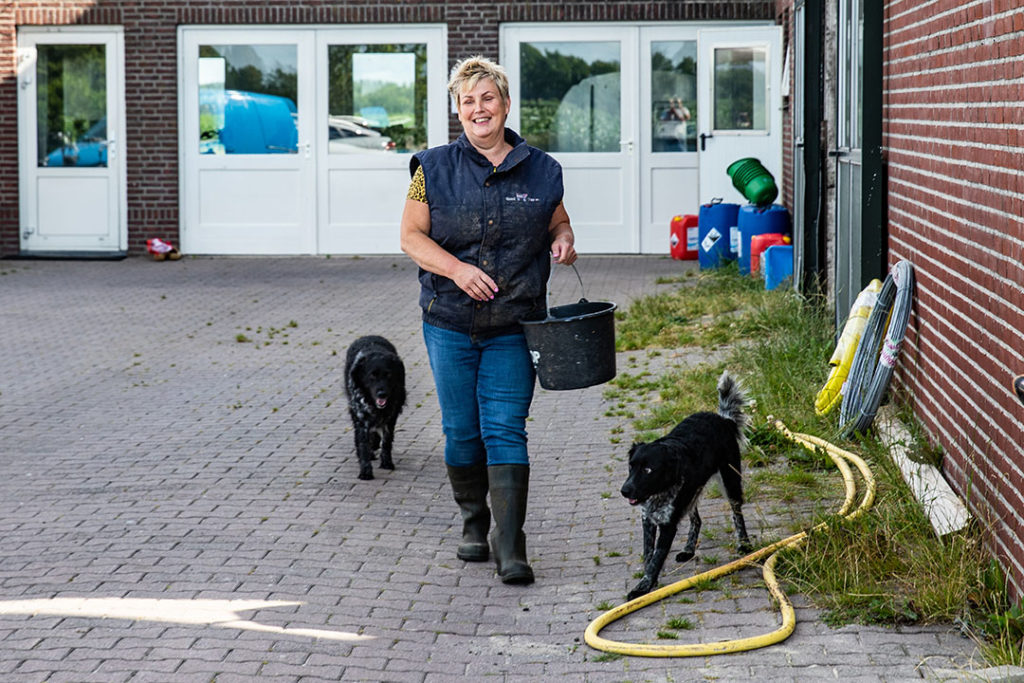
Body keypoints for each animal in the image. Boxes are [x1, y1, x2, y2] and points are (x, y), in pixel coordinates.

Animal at [346, 335, 405, 481]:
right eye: (372, 375)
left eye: (389, 375)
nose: (382, 394)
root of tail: (369, 336)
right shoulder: (360, 417)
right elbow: (363, 445)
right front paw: (365, 471)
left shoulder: (391, 416)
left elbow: (386, 442)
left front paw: (387, 463)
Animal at [614, 370, 753, 602]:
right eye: (631, 466)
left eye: (648, 470)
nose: (624, 491)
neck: (658, 492)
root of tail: (723, 418)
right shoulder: (648, 519)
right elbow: (648, 554)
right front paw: (648, 582)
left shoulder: (668, 525)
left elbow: (656, 558)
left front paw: (643, 587)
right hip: (691, 495)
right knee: (697, 520)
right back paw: (688, 550)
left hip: (730, 480)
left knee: (737, 513)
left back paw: (744, 543)